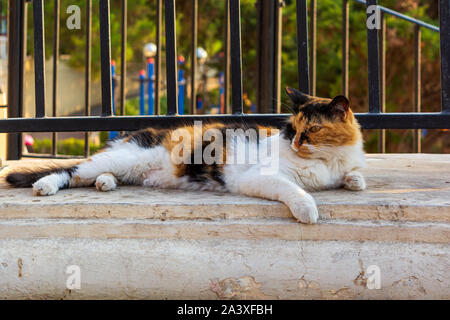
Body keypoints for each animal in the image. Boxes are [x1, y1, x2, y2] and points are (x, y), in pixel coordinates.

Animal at [6, 86, 366, 224]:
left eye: (313, 129)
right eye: (292, 129)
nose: (294, 143)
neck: (326, 161)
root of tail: (132, 134)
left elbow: (354, 175)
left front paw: (355, 181)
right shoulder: (260, 177)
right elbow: (295, 190)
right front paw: (308, 209)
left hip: (126, 166)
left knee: (93, 176)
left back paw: (105, 184)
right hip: (124, 158)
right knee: (71, 171)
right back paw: (46, 186)